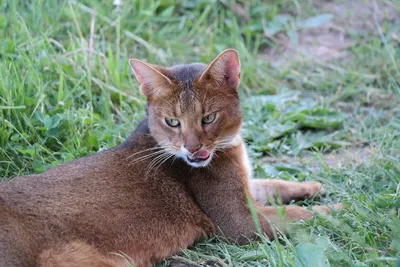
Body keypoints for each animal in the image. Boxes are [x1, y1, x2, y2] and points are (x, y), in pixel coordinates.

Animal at [0, 49, 340, 266]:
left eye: (208, 117)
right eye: (172, 122)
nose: (192, 148)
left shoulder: (244, 189)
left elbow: (272, 184)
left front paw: (313, 186)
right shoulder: (238, 220)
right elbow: (298, 216)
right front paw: (339, 209)